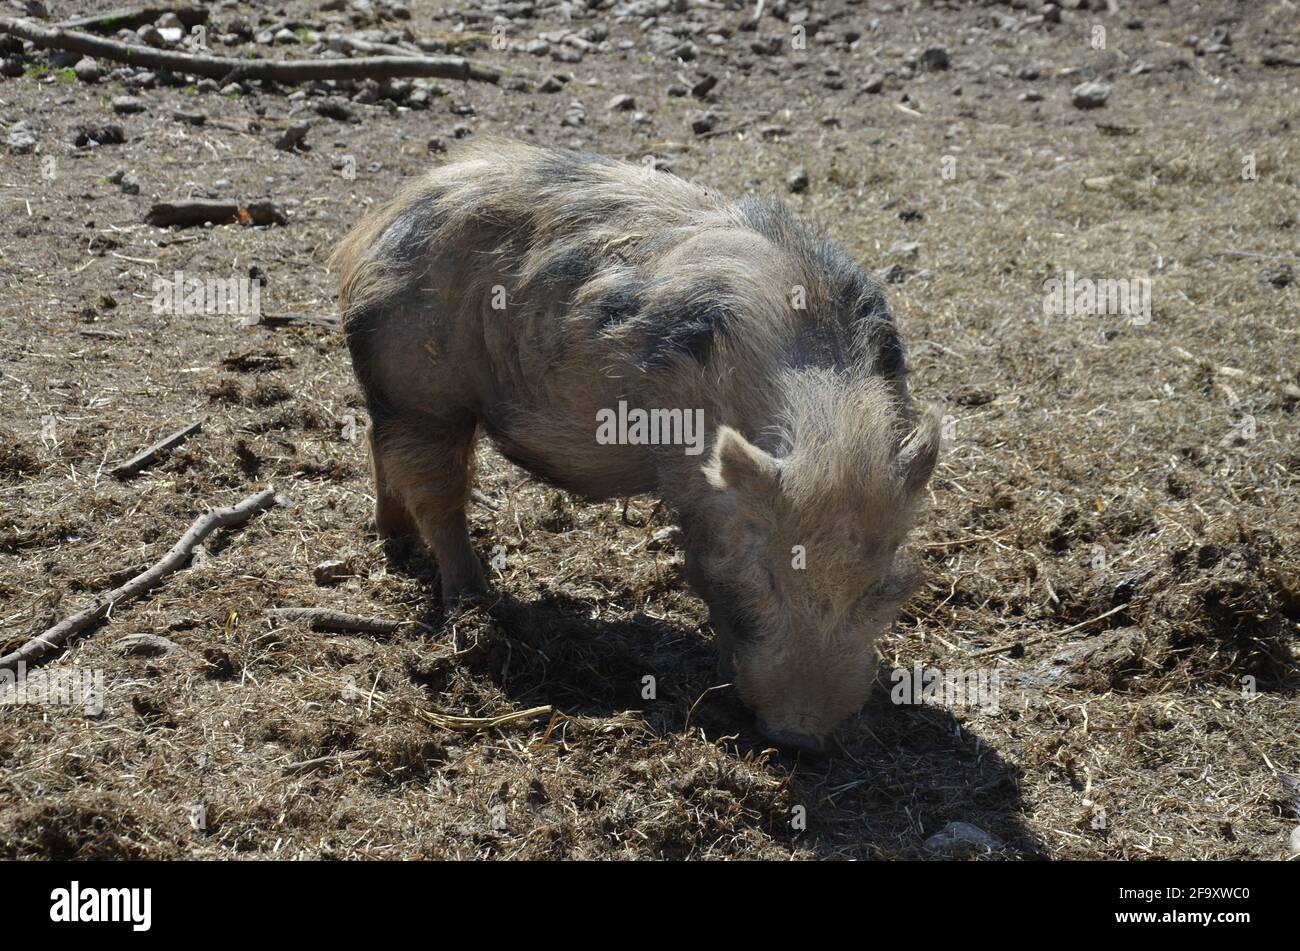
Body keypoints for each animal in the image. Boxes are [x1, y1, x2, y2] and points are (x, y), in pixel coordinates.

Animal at [330, 137, 941, 753]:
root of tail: (375, 229)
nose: (800, 738)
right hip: (423, 388)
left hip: (401, 396)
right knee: (435, 493)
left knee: (381, 448)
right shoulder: (691, 484)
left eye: (879, 577)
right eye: (767, 571)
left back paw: (397, 541)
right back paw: (472, 600)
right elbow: (705, 570)